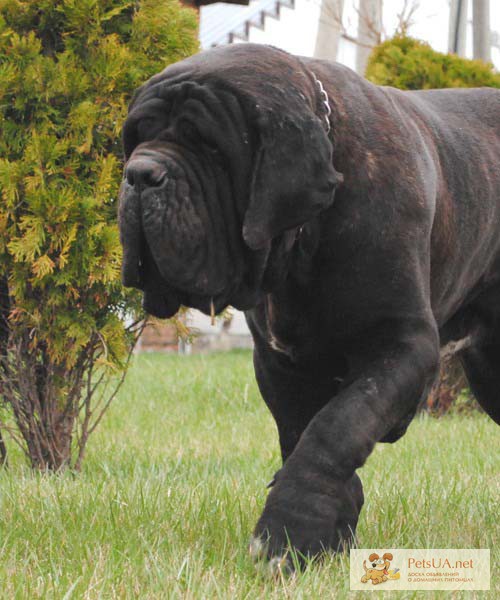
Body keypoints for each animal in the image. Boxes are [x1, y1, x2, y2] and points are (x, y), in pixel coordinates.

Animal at [120, 43, 500, 564]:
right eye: (134, 137)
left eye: (212, 148)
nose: (139, 174)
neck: (304, 239)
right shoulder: (278, 363)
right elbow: (302, 431)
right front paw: (329, 533)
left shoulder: (401, 345)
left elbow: (337, 427)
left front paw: (291, 530)